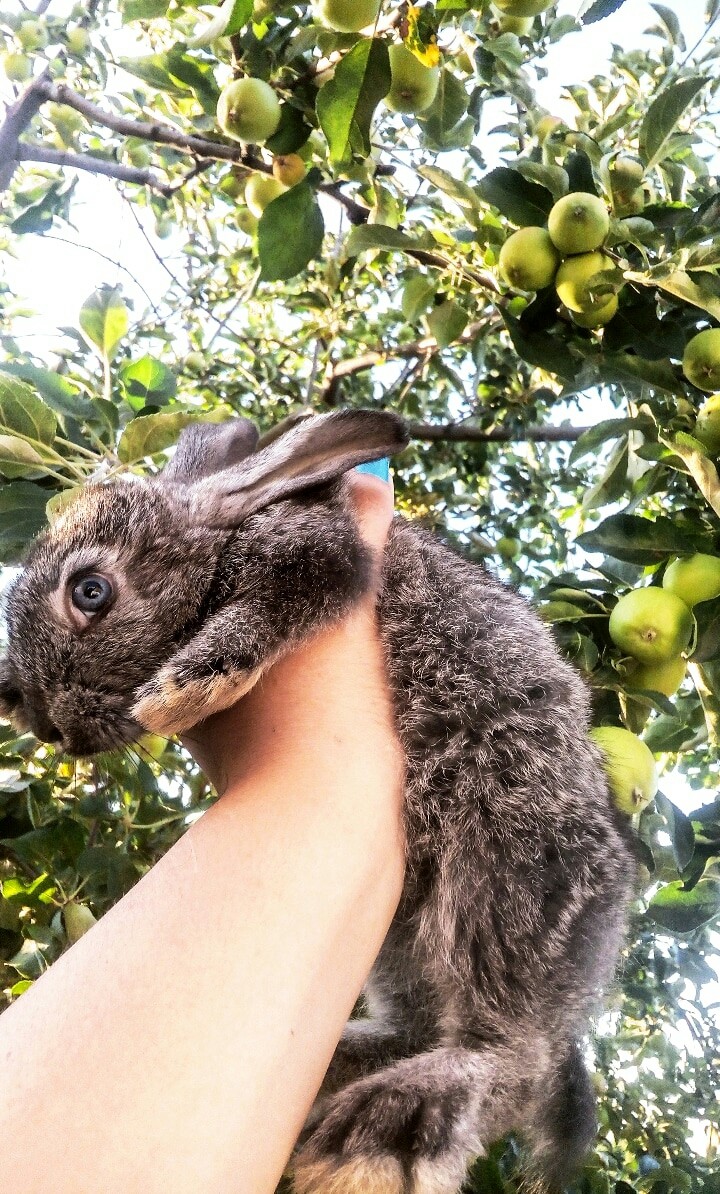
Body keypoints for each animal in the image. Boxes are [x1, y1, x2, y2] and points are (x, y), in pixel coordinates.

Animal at [0, 409, 636, 1194]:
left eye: (91, 592)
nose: (34, 717)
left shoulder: (312, 549)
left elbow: (286, 593)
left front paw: (188, 685)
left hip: (509, 852)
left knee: (514, 1055)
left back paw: (384, 1131)